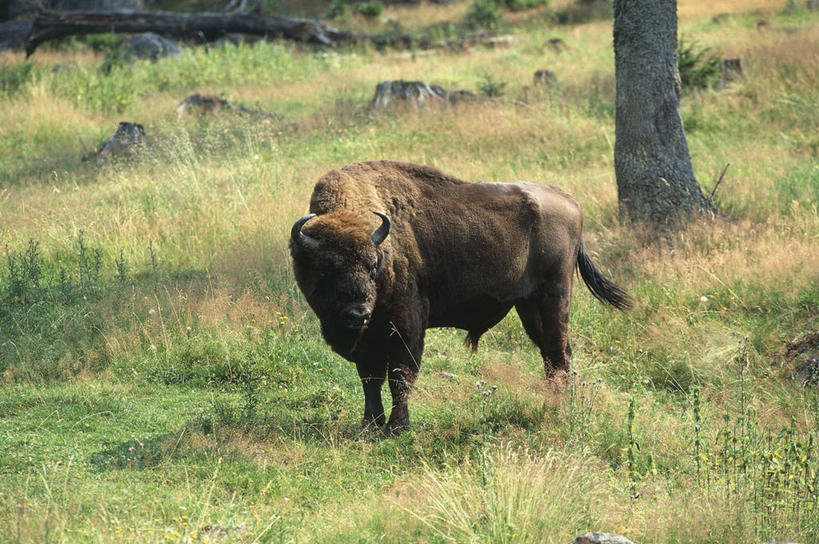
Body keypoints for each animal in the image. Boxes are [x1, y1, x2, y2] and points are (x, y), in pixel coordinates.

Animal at [292, 159, 632, 436]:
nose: (358, 313)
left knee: (559, 356)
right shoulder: (369, 340)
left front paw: (396, 428)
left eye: (373, 264)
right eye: (325, 268)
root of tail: (570, 201)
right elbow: (370, 380)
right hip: (529, 307)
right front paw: (369, 426)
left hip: (554, 298)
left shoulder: (406, 326)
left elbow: (400, 376)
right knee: (552, 356)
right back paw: (551, 410)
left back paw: (555, 414)